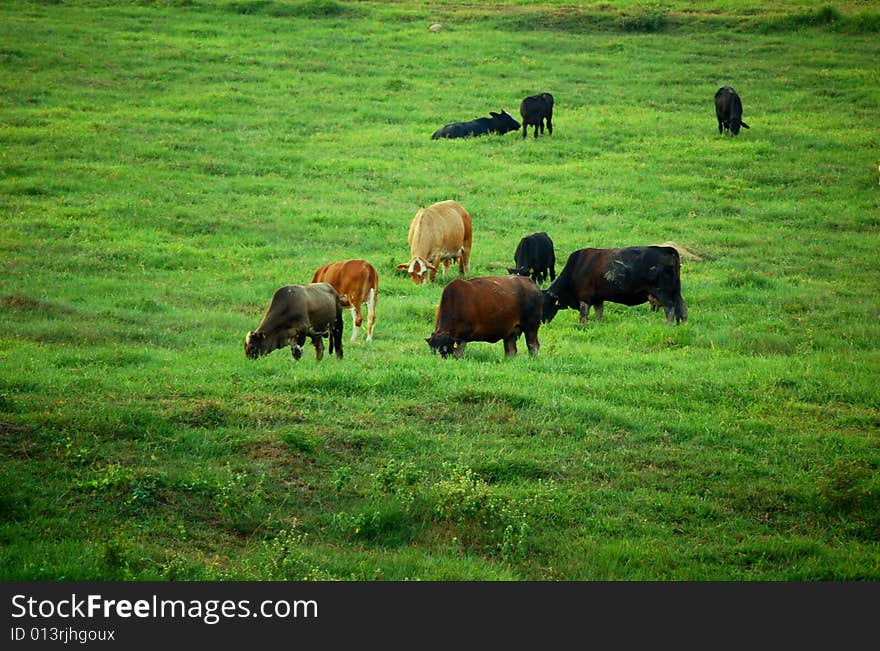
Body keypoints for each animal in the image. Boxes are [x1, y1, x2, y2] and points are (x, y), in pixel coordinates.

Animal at [544, 244, 688, 326]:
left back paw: (668, 326)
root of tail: (666, 249)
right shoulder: (598, 299)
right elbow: (599, 315)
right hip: (676, 291)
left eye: (544, 304)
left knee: (670, 309)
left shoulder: (585, 299)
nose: (542, 322)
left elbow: (583, 317)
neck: (576, 268)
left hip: (663, 293)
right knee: (682, 308)